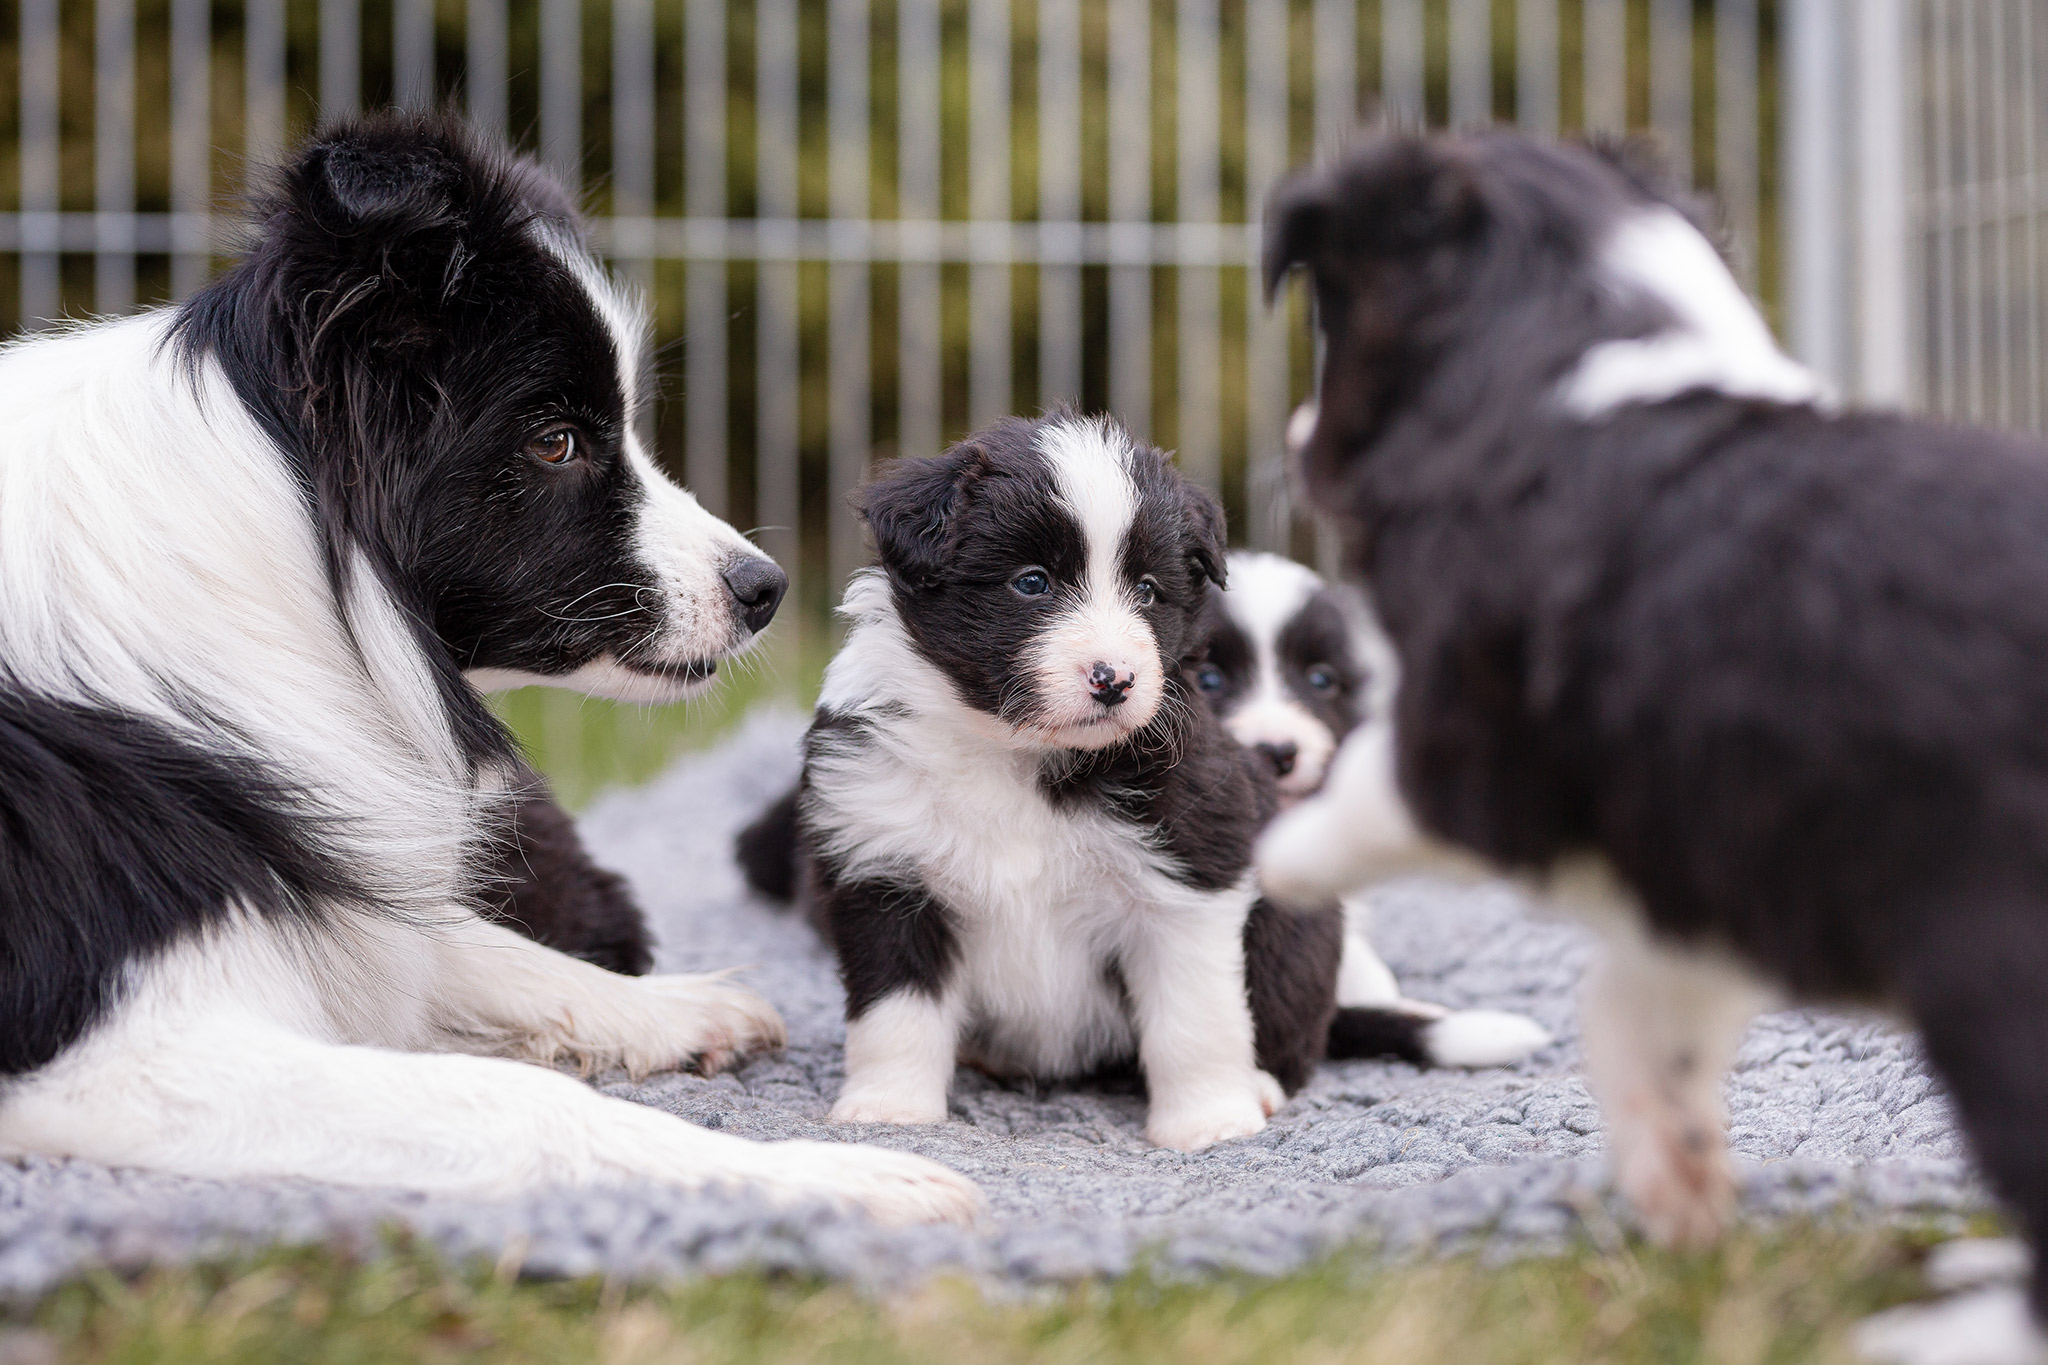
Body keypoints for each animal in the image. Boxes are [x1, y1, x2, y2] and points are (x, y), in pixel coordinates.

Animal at [0, 117, 978, 1227]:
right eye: (555, 441)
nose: (764, 587)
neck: (266, 552)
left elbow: (462, 945)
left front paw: (676, 1006)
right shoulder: (114, 1055)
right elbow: (517, 1099)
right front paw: (840, 1178)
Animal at [1253, 127, 2048, 1358]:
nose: (1294, 437)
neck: (1569, 364)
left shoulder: (1472, 740)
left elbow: (1378, 781)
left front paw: (1280, 853)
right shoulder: (1706, 840)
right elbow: (1638, 1006)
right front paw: (1676, 1189)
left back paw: (1938, 1326)